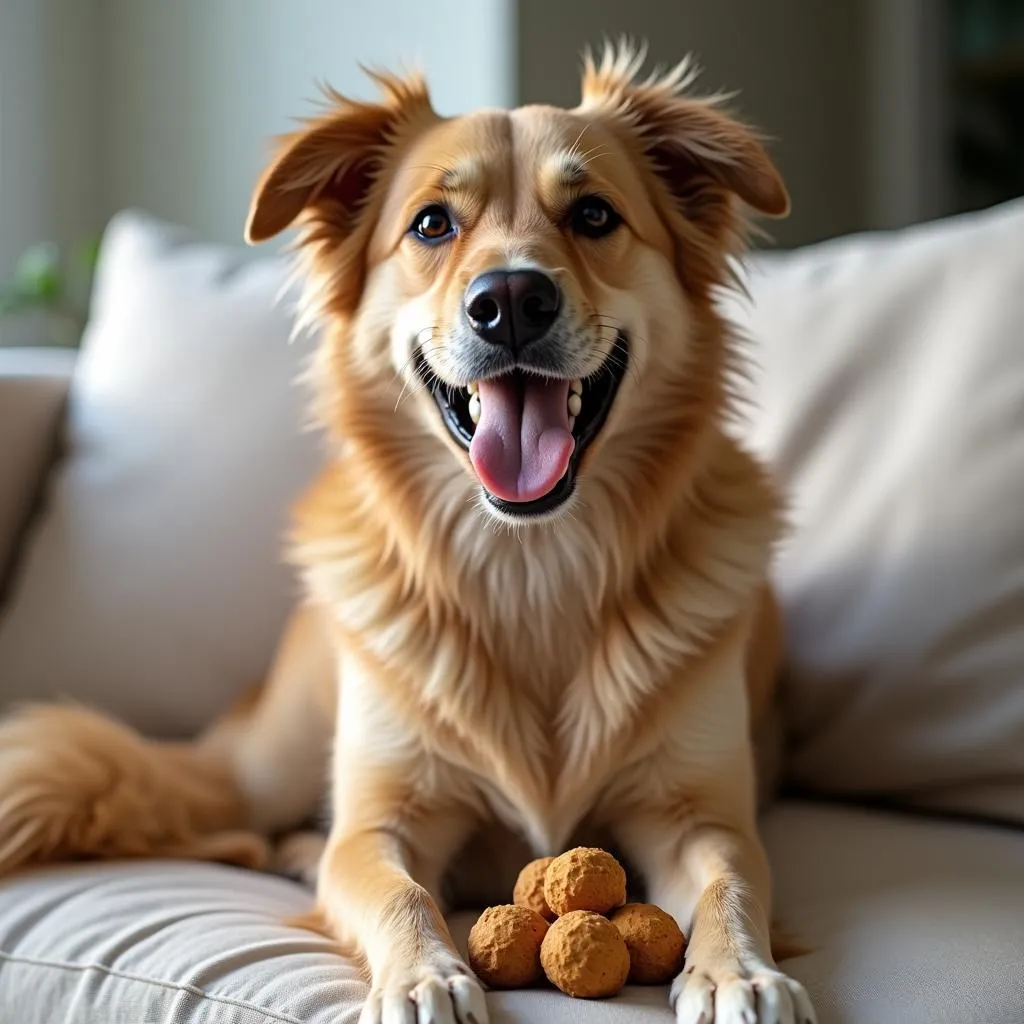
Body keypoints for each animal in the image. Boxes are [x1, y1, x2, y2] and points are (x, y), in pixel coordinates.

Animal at [0, 44, 815, 1024]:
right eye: (431, 224)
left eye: (593, 215)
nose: (511, 299)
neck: (530, 563)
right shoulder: (382, 817)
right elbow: (392, 883)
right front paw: (426, 975)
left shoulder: (699, 812)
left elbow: (731, 879)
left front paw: (739, 974)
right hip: (269, 763)